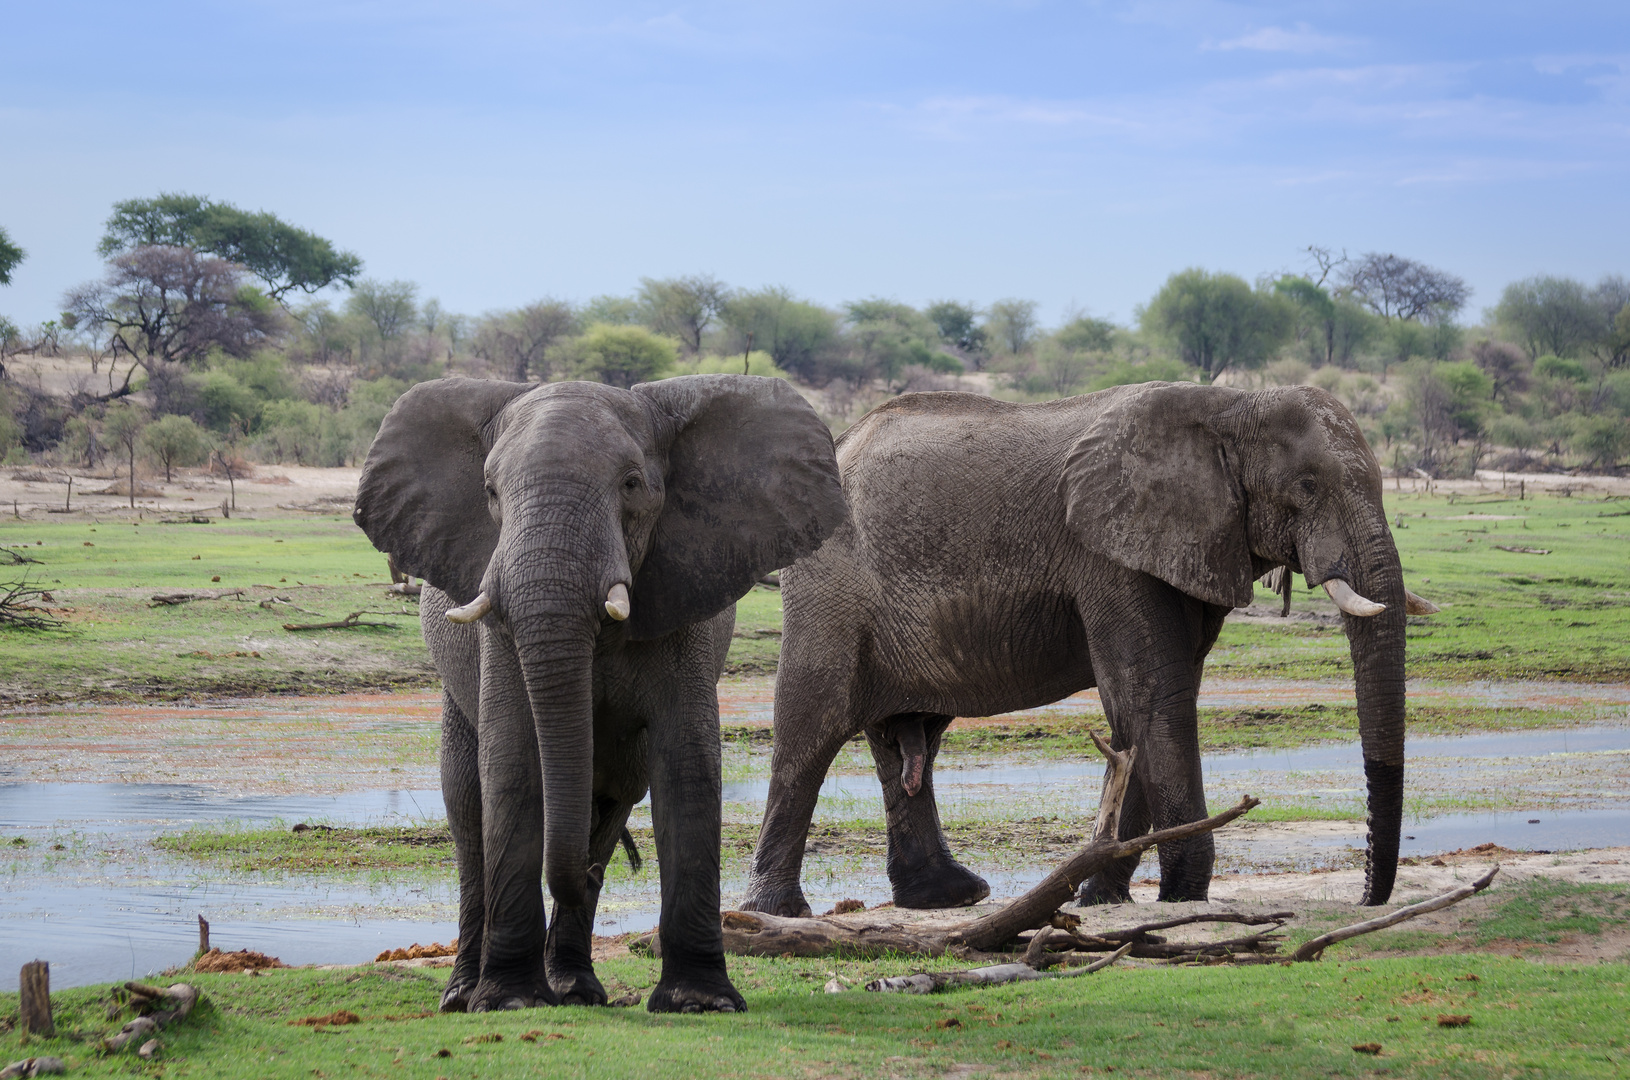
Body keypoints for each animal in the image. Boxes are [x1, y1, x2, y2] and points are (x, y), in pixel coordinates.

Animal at [353, 374, 841, 1016]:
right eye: (489, 492)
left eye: (631, 485)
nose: (575, 876)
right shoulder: (497, 632)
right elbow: (511, 762)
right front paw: (511, 1002)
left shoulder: (683, 606)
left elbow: (687, 766)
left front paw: (699, 1003)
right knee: (468, 809)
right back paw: (465, 995)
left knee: (611, 805)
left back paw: (576, 987)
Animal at [746, 384, 1434, 918]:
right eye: (1308, 485)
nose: (1367, 900)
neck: (1230, 405)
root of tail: (841, 443)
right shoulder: (1109, 557)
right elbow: (1154, 699)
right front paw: (1182, 895)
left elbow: (1147, 709)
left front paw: (1101, 898)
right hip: (832, 588)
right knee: (811, 729)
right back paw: (777, 911)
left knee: (910, 741)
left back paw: (950, 897)